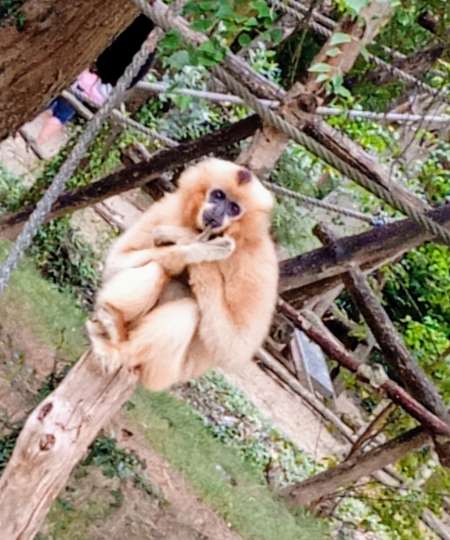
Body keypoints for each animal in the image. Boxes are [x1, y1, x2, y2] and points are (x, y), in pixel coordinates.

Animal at [87, 157, 279, 390]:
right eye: (219, 195)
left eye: (234, 208)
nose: (219, 212)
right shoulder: (169, 207)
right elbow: (116, 262)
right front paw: (194, 246)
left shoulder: (258, 260)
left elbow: (235, 346)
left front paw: (190, 240)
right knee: (156, 267)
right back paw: (114, 323)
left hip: (166, 373)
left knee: (190, 310)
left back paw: (122, 352)